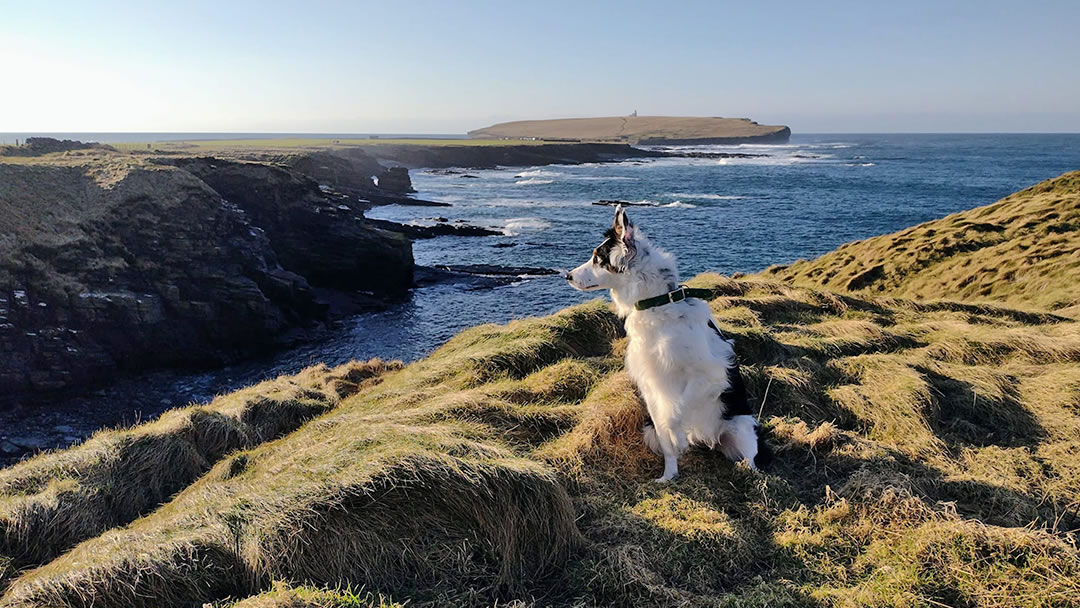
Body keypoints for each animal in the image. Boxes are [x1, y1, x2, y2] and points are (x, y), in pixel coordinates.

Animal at [565, 207, 768, 483]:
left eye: (598, 259)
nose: (567, 276)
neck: (656, 305)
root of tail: (712, 441)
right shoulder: (650, 384)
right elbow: (665, 435)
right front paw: (668, 475)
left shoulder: (709, 376)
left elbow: (674, 414)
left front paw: (680, 439)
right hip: (649, 430)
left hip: (741, 426)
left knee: (751, 459)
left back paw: (746, 471)